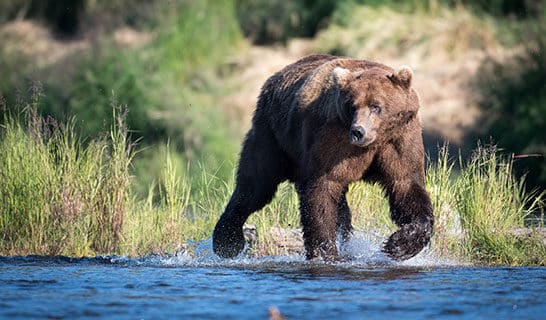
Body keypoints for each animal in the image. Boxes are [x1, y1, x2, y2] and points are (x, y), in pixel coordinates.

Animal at [212, 54, 434, 260]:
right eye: (352, 106)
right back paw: (227, 242)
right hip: (273, 136)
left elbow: (405, 186)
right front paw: (326, 253)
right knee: (256, 184)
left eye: (376, 106)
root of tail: (273, 78)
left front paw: (399, 245)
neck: (375, 142)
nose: (358, 131)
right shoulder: (333, 139)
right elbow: (323, 190)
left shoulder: (399, 141)